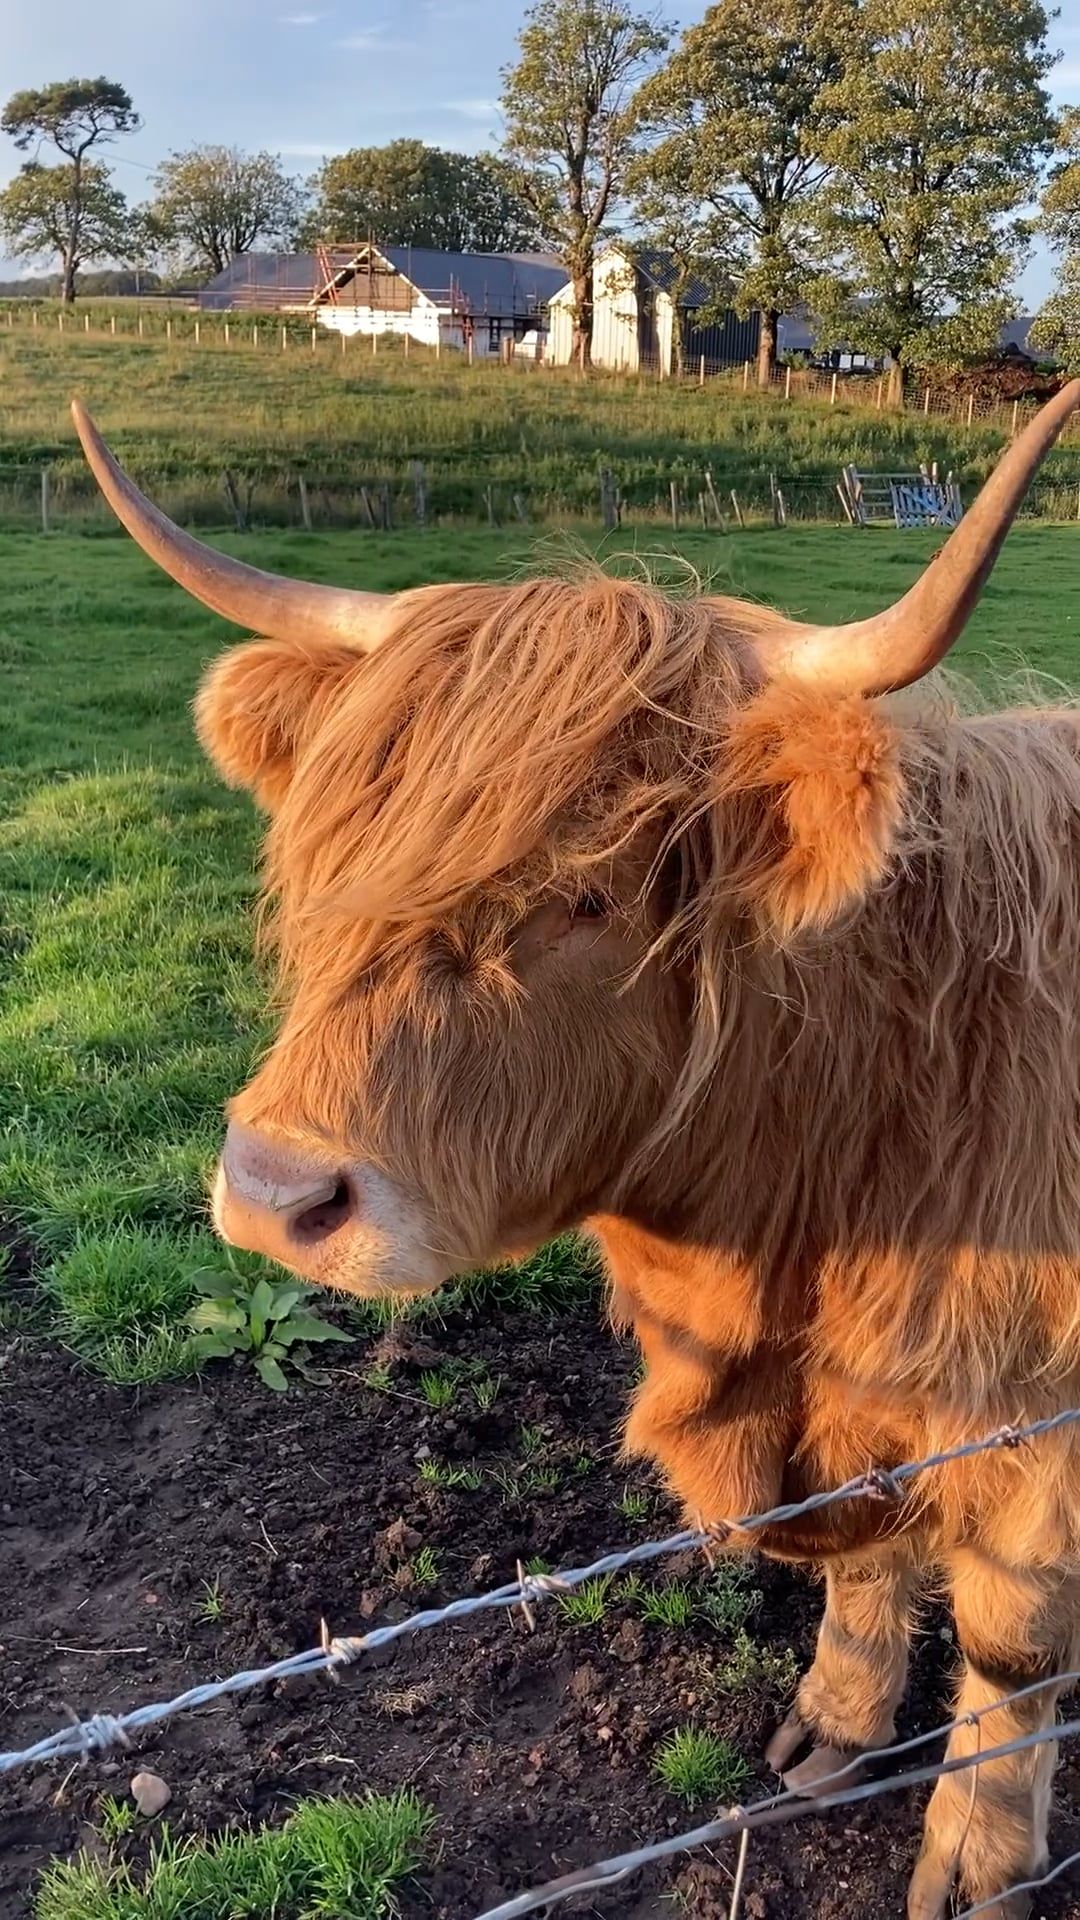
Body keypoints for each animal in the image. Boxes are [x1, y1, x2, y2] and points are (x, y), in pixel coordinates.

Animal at [74, 387, 1080, 1919]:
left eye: (589, 895)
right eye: (331, 853)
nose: (271, 1196)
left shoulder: (1030, 1420)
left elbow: (1014, 1650)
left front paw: (977, 1860)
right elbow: (868, 1564)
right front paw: (835, 1726)